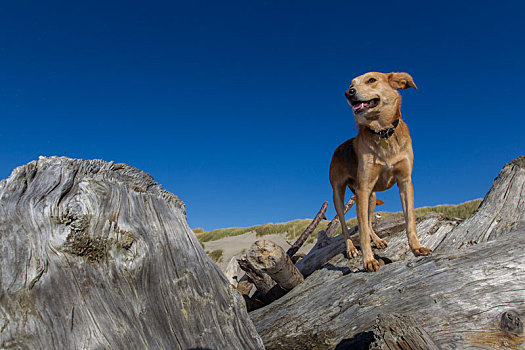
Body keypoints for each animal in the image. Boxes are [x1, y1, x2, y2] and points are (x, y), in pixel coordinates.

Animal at [330, 72, 432, 272]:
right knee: (346, 226)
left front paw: (416, 248)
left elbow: (410, 221)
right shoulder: (363, 188)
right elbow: (360, 230)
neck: (382, 132)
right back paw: (351, 248)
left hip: (371, 197)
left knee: (369, 222)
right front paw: (368, 260)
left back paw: (377, 240)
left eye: (371, 80)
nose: (348, 92)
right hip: (340, 194)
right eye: (351, 84)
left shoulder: (405, 183)